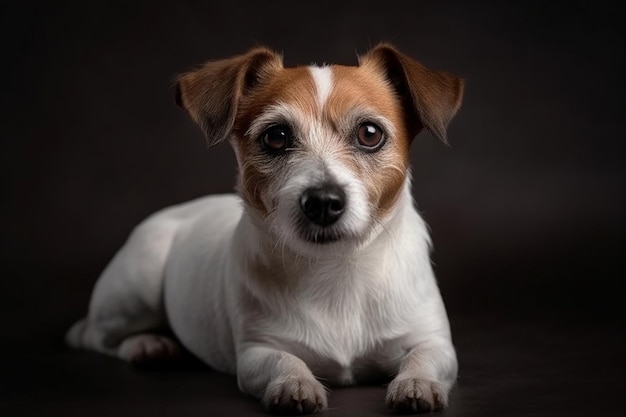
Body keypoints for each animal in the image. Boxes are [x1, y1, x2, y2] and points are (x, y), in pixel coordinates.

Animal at [66, 42, 460, 412]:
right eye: (276, 136)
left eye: (369, 133)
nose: (322, 201)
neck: (336, 269)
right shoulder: (257, 351)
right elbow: (284, 361)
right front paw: (294, 384)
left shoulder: (434, 340)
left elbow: (424, 357)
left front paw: (416, 383)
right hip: (137, 285)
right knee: (97, 337)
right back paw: (147, 344)